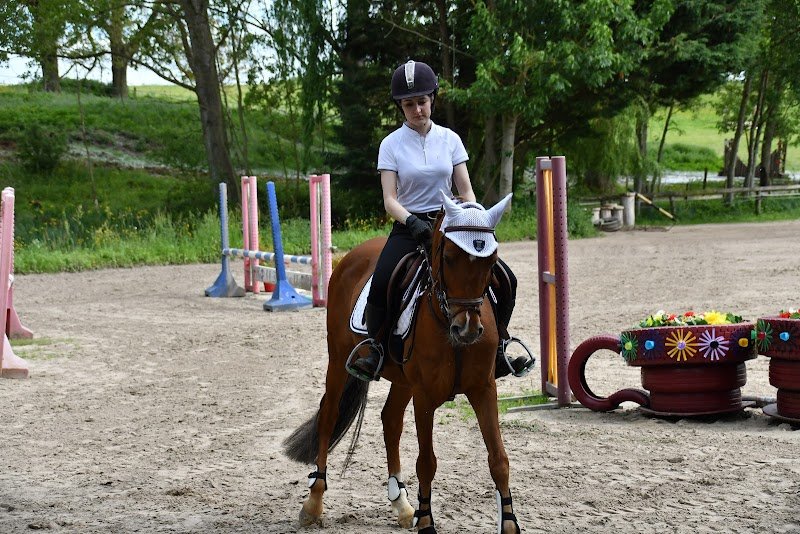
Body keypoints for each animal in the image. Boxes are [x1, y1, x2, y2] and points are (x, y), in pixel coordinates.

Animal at [283, 193, 521, 534]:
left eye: (491, 262)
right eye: (449, 257)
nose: (467, 329)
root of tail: (351, 256)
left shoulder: (484, 389)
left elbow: (499, 459)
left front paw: (509, 523)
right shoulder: (425, 396)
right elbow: (427, 462)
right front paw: (427, 522)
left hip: (402, 378)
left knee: (390, 420)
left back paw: (402, 504)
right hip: (339, 358)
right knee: (329, 415)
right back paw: (313, 504)